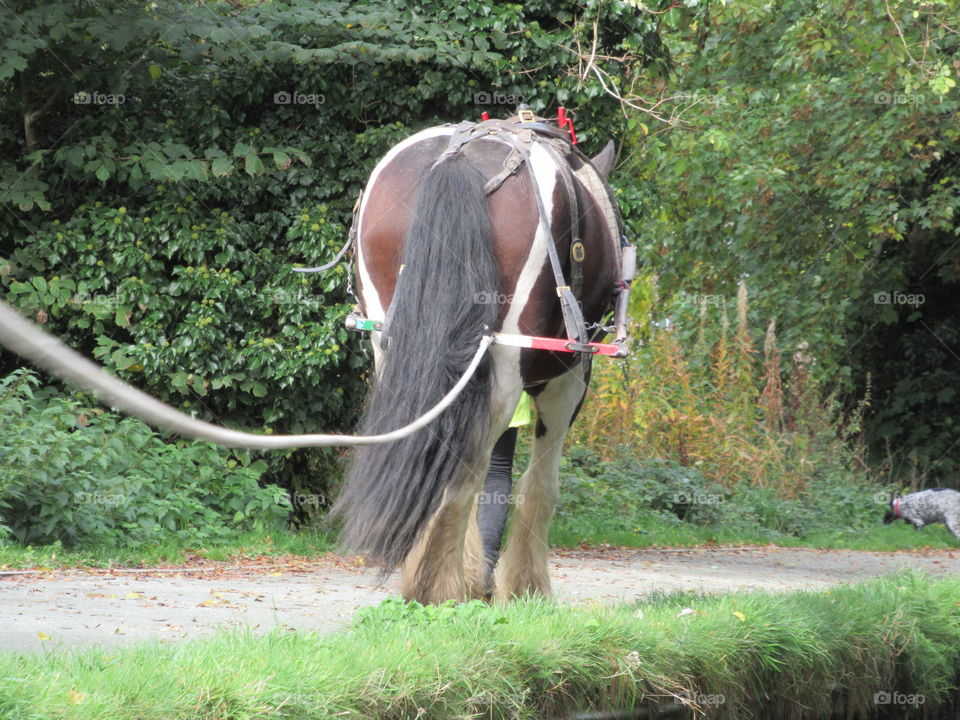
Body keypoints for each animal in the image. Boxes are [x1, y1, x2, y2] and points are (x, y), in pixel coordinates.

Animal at [334, 115, 628, 604]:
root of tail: (456, 157)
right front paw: (526, 587)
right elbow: (539, 484)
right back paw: (438, 586)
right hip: (506, 358)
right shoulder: (570, 377)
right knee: (463, 467)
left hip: (393, 345)